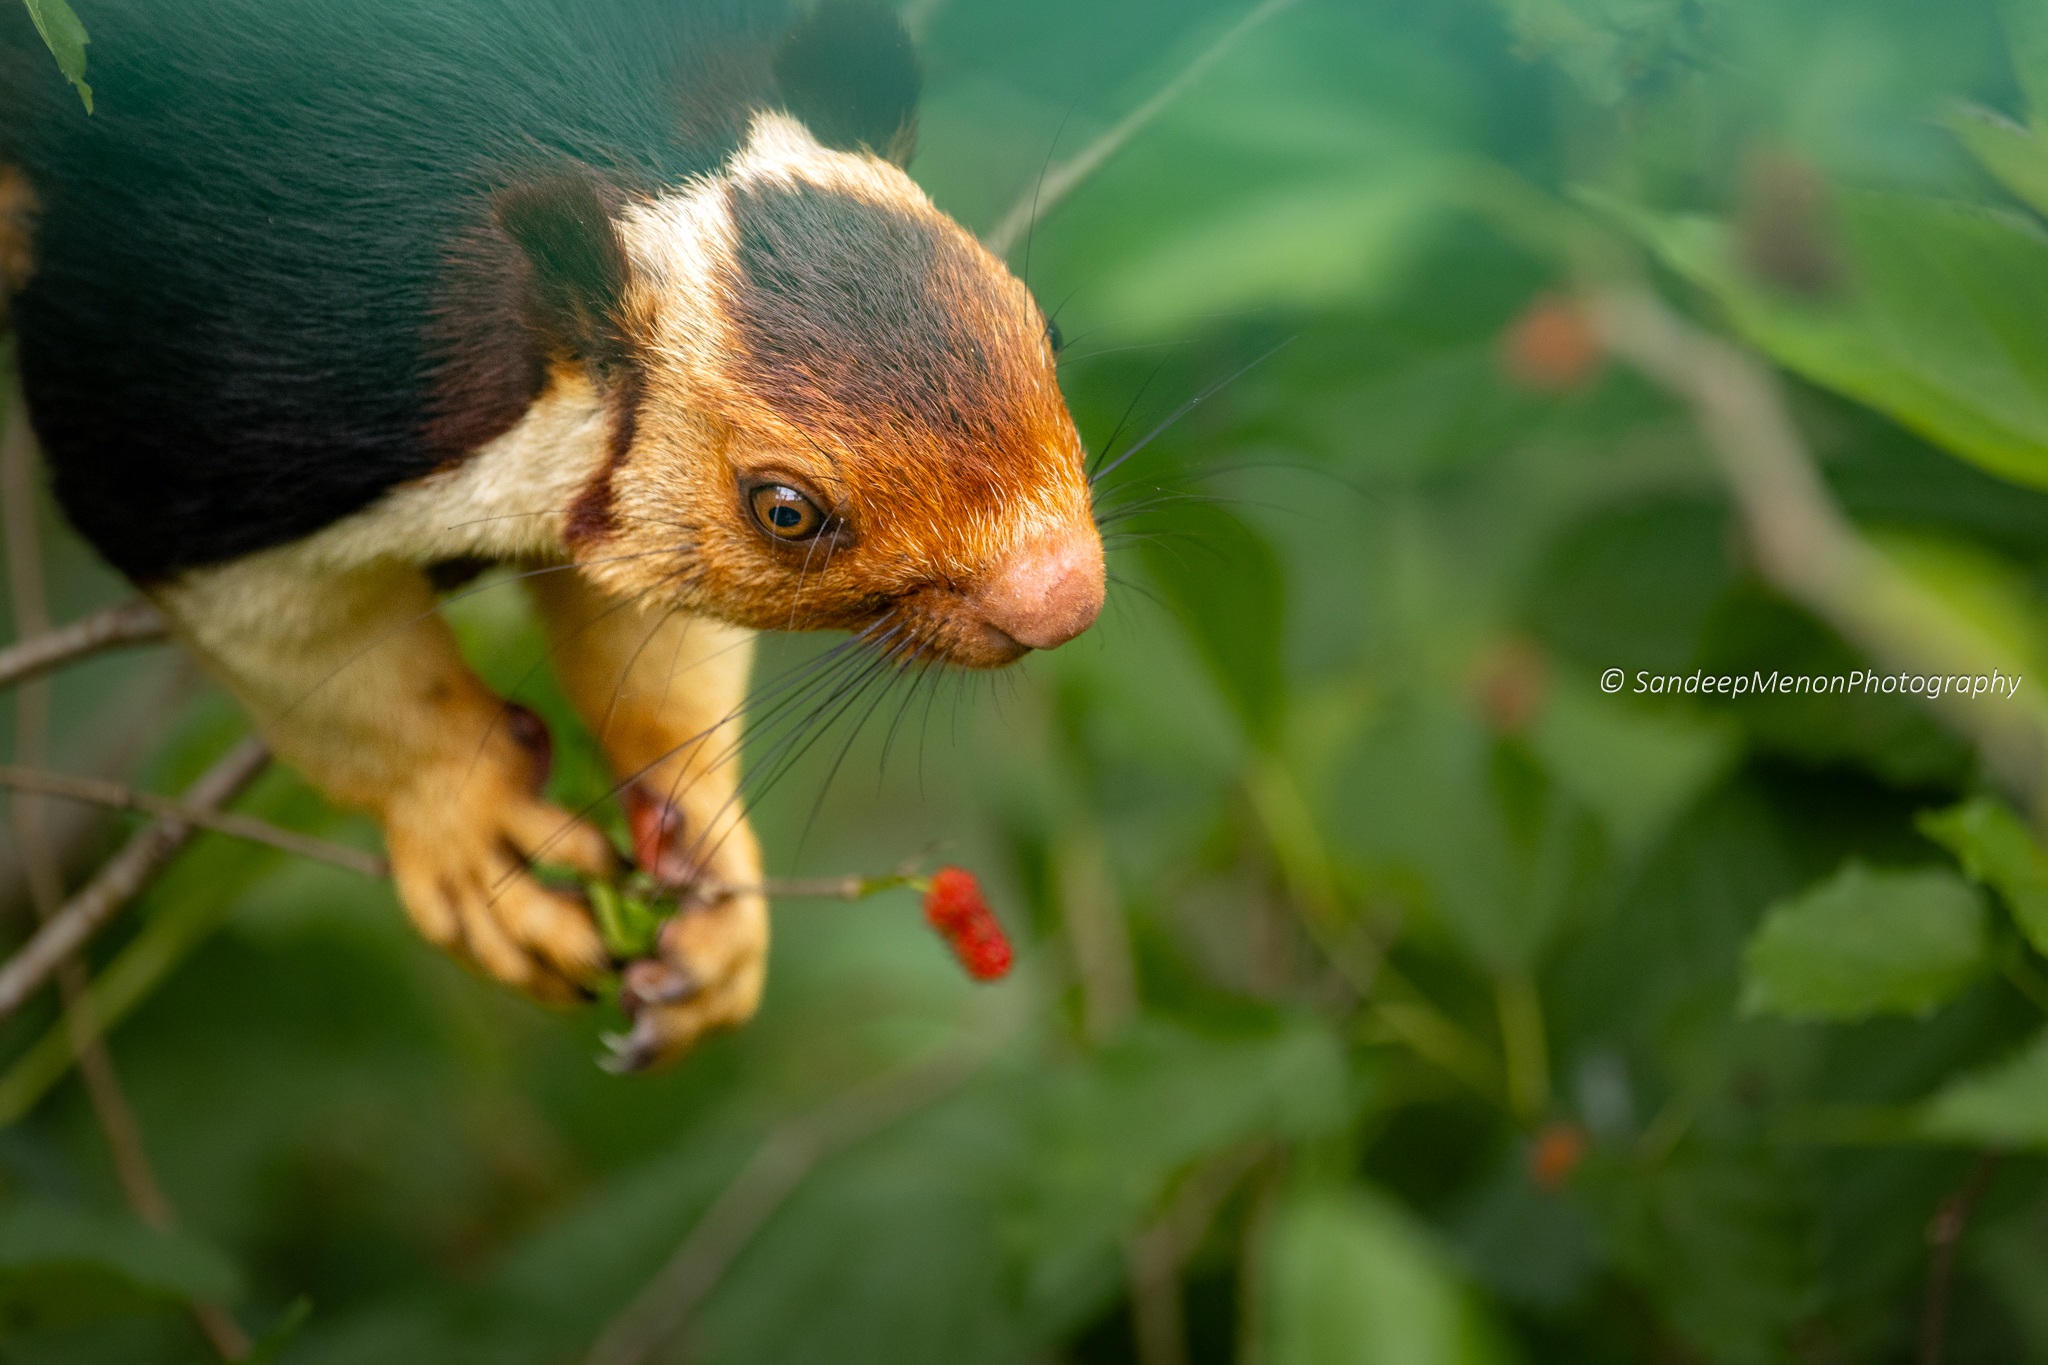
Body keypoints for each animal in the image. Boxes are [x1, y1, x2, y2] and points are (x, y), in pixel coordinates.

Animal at [0, 0, 1104, 1069]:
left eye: (1045, 334)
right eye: (785, 510)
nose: (1063, 601)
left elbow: (646, 641)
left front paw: (709, 872)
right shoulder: (199, 406)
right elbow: (328, 661)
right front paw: (481, 835)